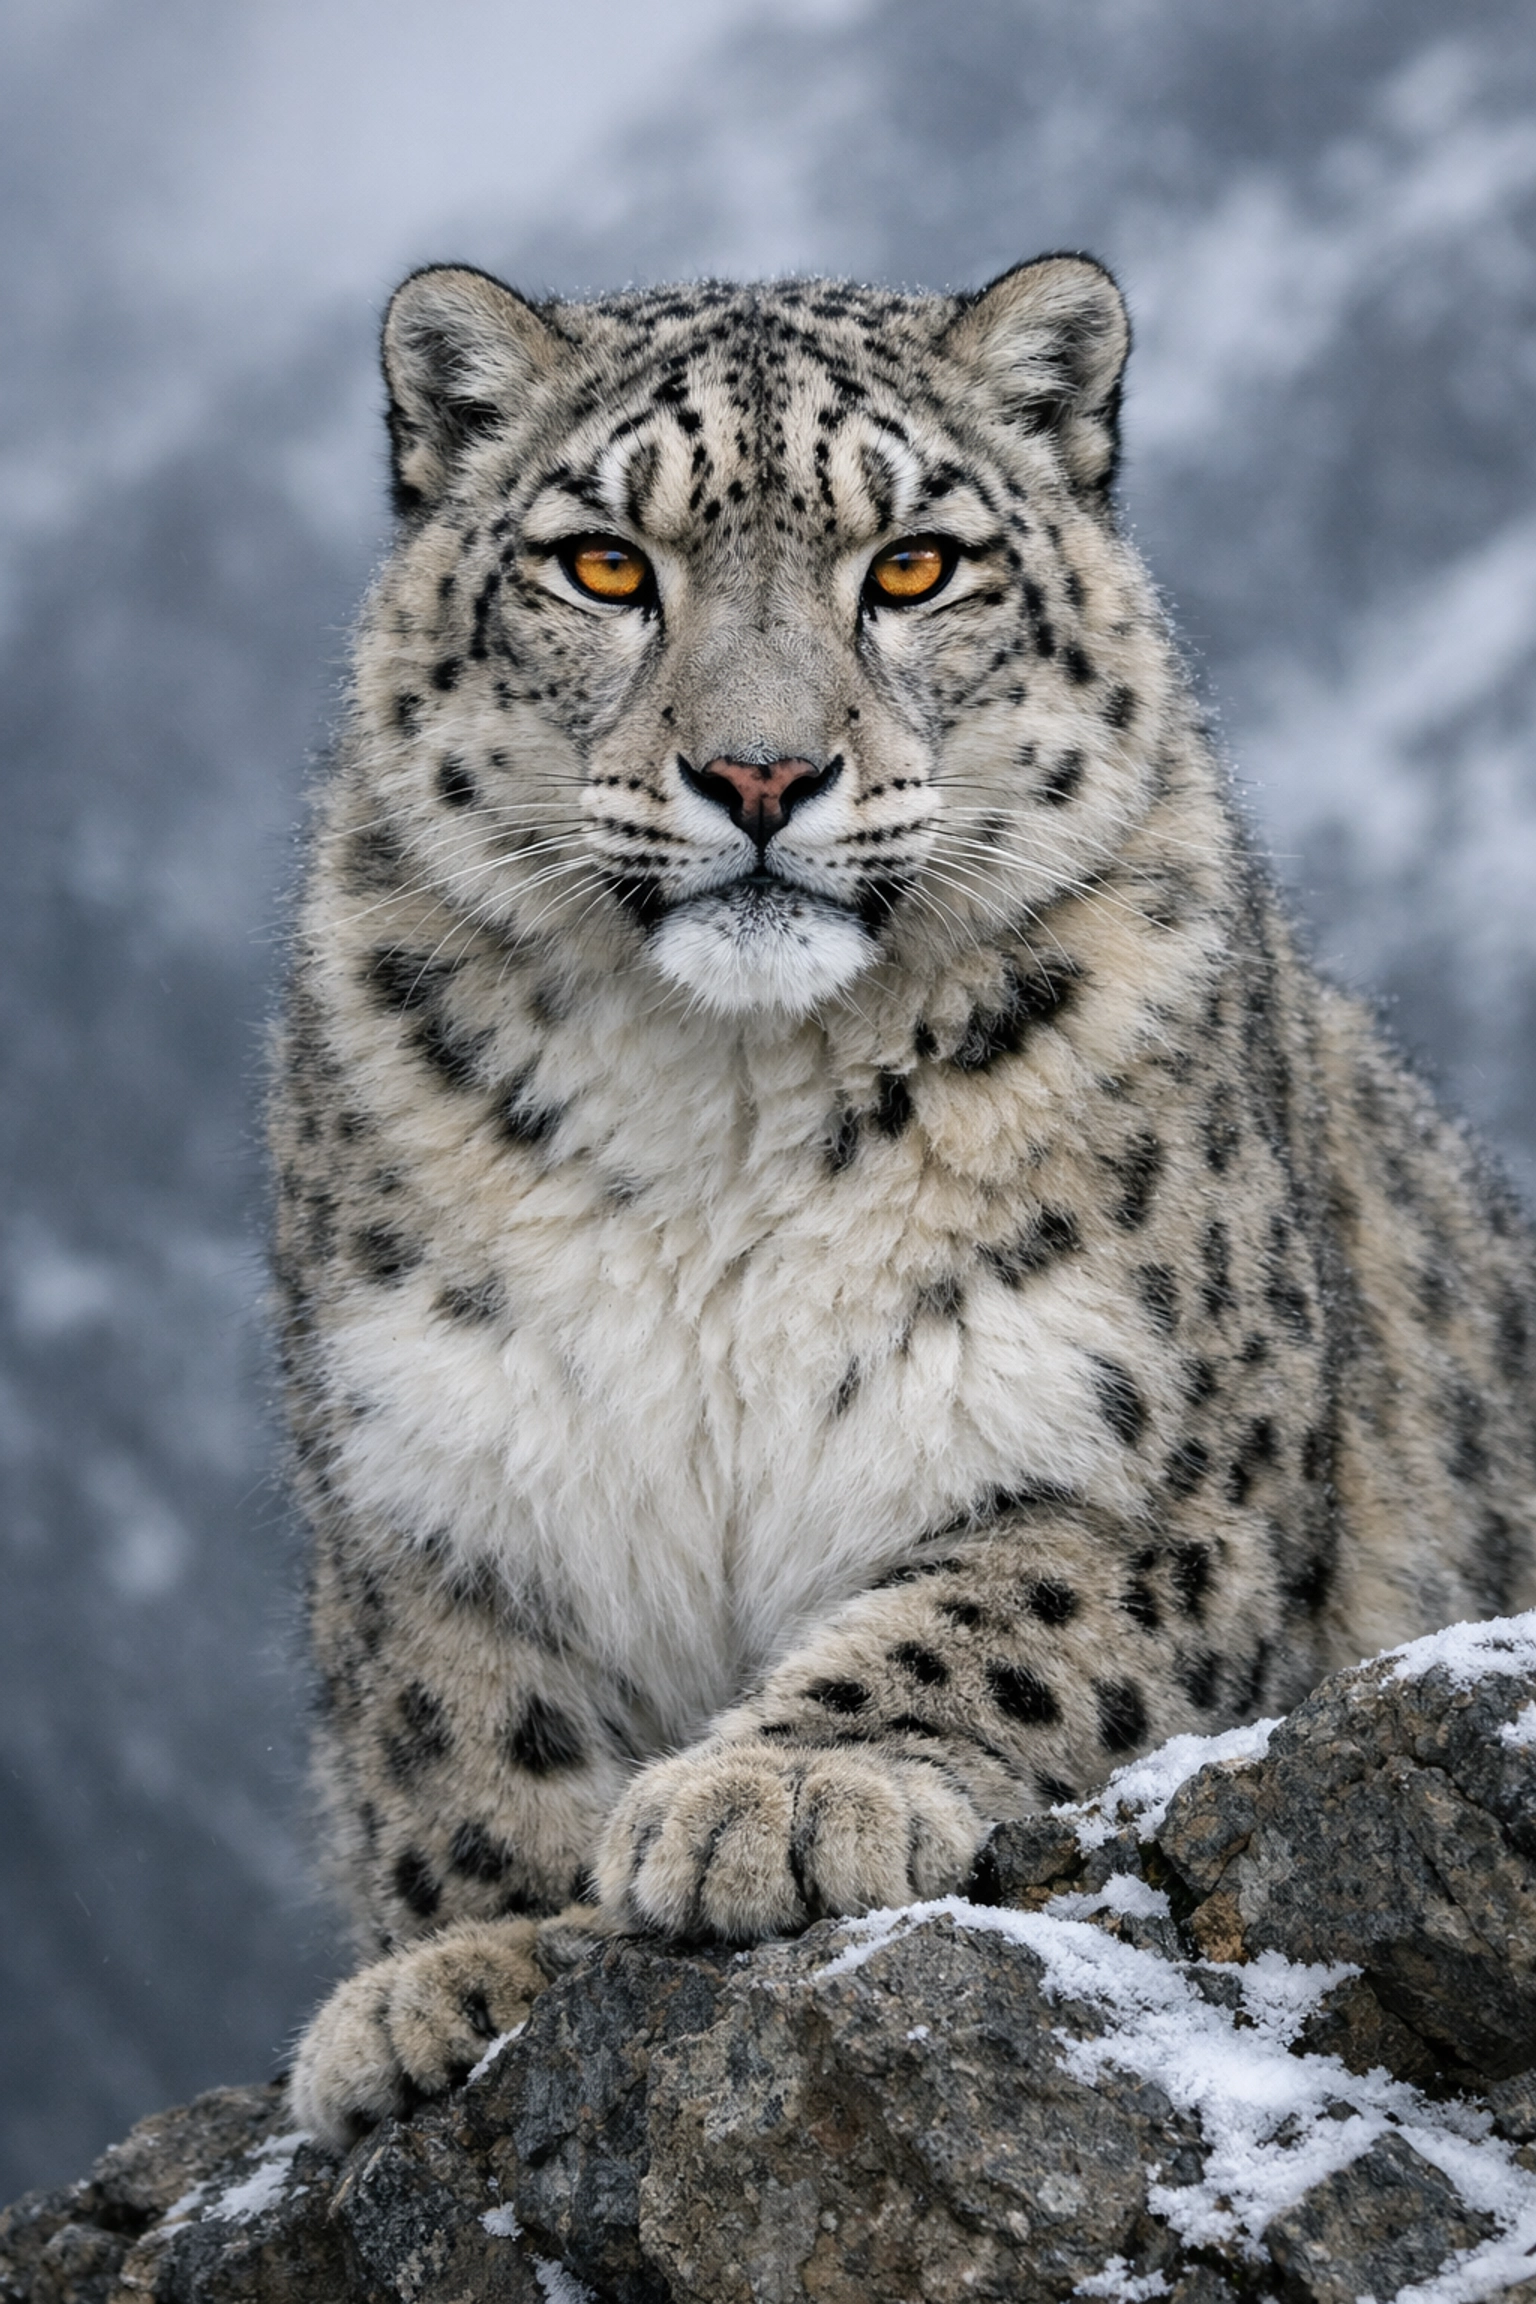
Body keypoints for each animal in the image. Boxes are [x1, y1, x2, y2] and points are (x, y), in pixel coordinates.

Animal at [272, 256, 1536, 2148]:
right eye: (604, 565)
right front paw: (454, 1968)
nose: (761, 774)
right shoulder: (433, 1458)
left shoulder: (1135, 1441)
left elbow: (992, 1617)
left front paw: (779, 1794)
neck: (720, 1114)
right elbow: (457, 1727)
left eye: (917, 564)